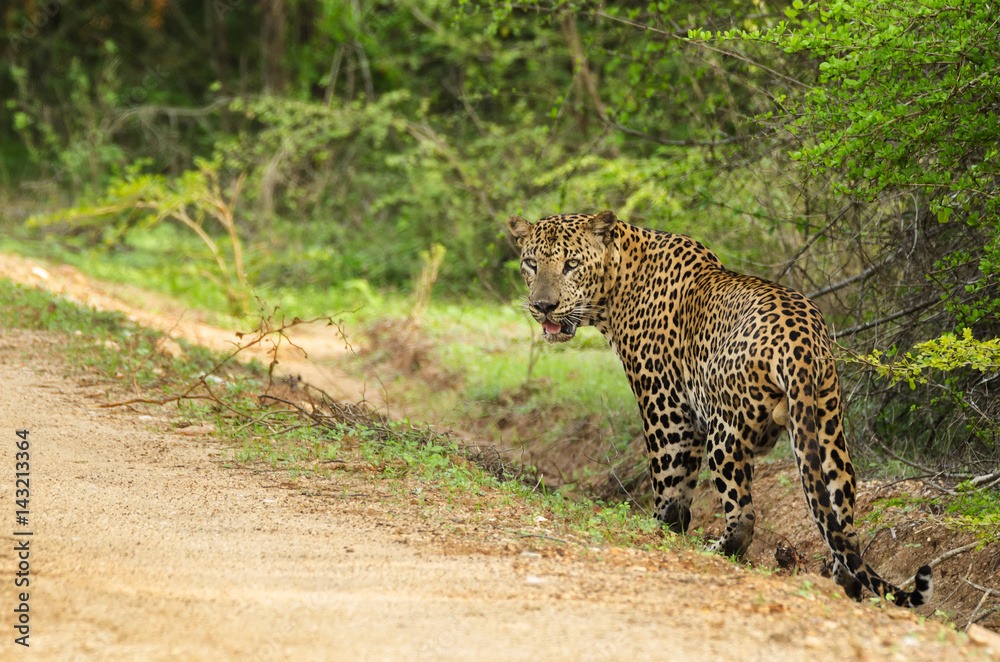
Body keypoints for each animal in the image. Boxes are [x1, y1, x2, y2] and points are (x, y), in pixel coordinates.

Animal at [507, 209, 933, 607]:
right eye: (531, 263)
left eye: (571, 264)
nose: (543, 306)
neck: (617, 288)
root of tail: (800, 339)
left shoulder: (665, 406)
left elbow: (669, 481)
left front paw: (660, 531)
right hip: (826, 424)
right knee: (844, 523)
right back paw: (842, 583)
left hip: (725, 431)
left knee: (743, 515)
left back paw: (718, 549)